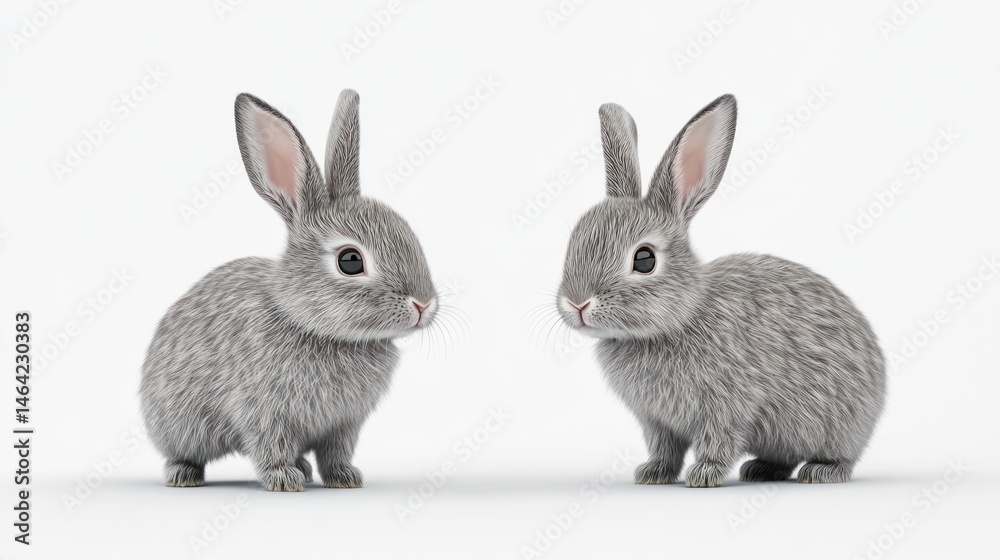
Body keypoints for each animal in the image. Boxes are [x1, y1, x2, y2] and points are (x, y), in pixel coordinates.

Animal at [140, 90, 438, 491]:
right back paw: (184, 475)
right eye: (350, 261)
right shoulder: (263, 410)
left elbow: (336, 452)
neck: (313, 326)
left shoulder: (344, 425)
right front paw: (283, 479)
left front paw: (345, 477)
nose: (423, 305)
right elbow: (270, 444)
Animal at [556, 94, 886, 487]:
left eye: (645, 259)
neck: (676, 320)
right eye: (573, 243)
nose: (577, 304)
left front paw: (703, 475)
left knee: (841, 459)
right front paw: (653, 473)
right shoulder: (657, 423)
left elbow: (719, 440)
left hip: (837, 425)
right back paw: (761, 469)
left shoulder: (727, 405)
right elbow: (665, 449)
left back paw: (821, 471)